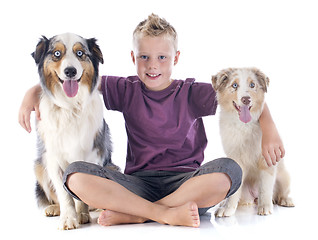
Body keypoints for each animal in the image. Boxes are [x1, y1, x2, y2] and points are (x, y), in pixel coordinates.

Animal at [31, 32, 117, 230]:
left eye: (80, 53)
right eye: (56, 53)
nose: (70, 71)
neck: (70, 107)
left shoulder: (93, 154)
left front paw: (82, 214)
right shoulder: (53, 158)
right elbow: (64, 195)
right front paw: (69, 218)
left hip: (112, 166)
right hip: (39, 166)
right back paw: (54, 209)